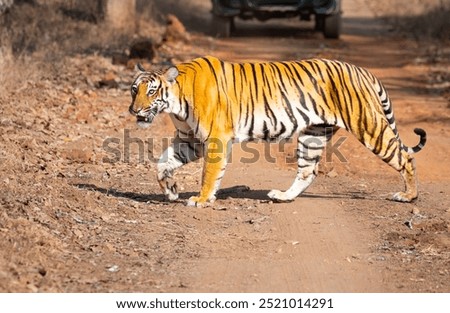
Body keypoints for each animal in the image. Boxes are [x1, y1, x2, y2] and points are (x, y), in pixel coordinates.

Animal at [128, 55, 428, 207]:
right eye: (134, 90)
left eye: (151, 92)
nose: (134, 110)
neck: (175, 103)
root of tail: (363, 70)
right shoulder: (190, 140)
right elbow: (162, 163)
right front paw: (171, 190)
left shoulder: (214, 138)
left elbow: (209, 174)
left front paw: (201, 199)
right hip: (313, 134)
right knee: (308, 171)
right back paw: (283, 196)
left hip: (369, 126)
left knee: (405, 156)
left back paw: (408, 196)